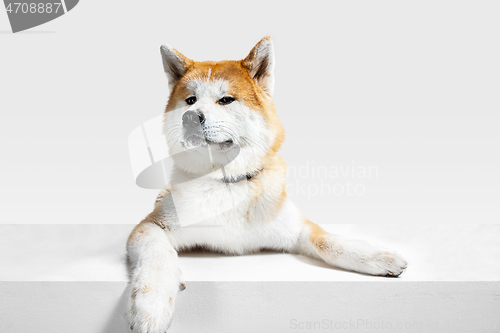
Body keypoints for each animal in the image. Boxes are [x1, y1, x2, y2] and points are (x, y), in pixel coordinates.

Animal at [127, 37, 408, 332]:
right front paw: (151, 305)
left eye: (226, 99)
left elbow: (328, 241)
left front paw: (377, 256)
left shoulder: (295, 227)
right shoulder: (151, 226)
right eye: (190, 100)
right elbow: (157, 257)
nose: (190, 116)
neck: (227, 183)